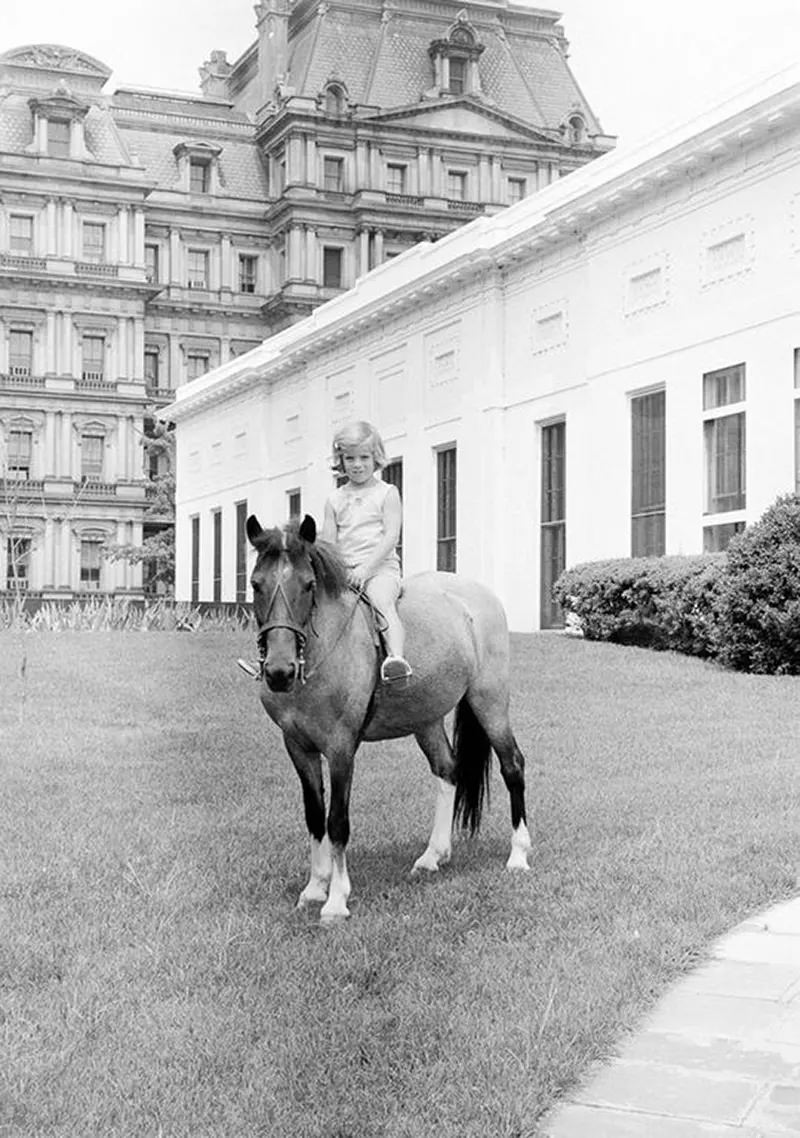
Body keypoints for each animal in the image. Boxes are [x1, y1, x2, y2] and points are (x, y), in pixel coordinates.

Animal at [243, 512, 532, 919]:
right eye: (256, 584)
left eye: (309, 584)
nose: (279, 672)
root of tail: (478, 595)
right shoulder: (298, 747)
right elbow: (314, 816)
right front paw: (315, 888)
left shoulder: (341, 748)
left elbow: (337, 821)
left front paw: (336, 900)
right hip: (426, 718)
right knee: (447, 770)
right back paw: (432, 856)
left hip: (489, 700)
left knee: (512, 766)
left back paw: (518, 854)